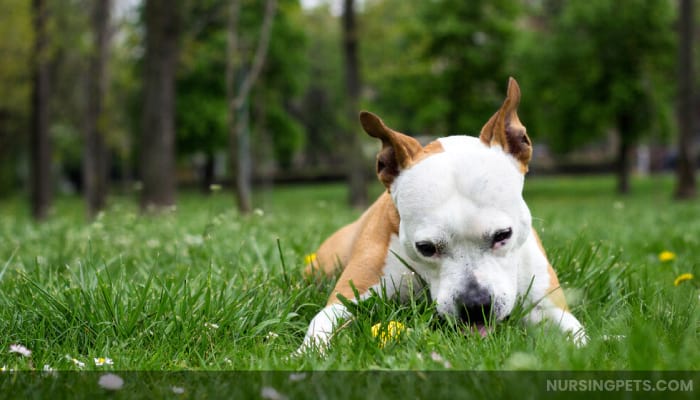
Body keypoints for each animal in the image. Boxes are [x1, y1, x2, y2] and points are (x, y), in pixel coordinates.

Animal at [298, 76, 584, 352]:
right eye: (426, 248)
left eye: (503, 235)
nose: (475, 305)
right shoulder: (348, 296)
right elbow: (321, 323)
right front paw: (306, 353)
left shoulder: (549, 307)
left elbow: (578, 339)